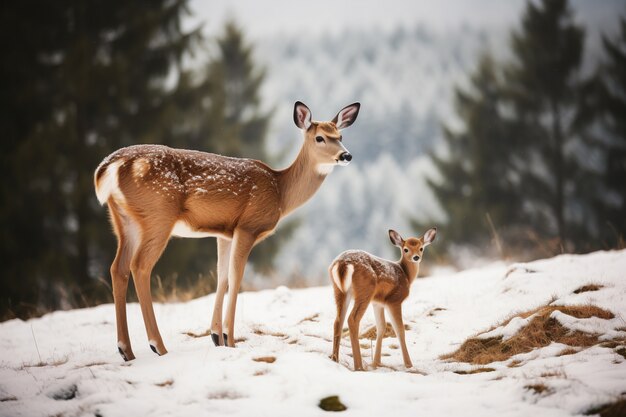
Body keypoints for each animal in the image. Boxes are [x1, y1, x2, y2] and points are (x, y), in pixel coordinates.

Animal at [91, 101, 356, 360]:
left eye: (340, 135)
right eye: (320, 137)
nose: (346, 155)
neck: (280, 192)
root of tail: (108, 167)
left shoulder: (224, 233)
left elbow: (222, 276)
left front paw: (216, 336)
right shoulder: (248, 226)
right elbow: (236, 277)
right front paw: (230, 339)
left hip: (124, 220)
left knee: (118, 268)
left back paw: (126, 350)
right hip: (158, 215)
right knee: (140, 266)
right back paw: (157, 346)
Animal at [326, 228, 434, 370]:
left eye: (421, 248)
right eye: (405, 249)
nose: (416, 257)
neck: (406, 275)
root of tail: (342, 263)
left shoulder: (378, 303)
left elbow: (381, 327)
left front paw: (376, 363)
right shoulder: (394, 300)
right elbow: (400, 330)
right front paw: (409, 364)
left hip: (339, 291)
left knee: (338, 320)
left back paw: (335, 359)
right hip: (365, 290)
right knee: (352, 319)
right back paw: (359, 366)